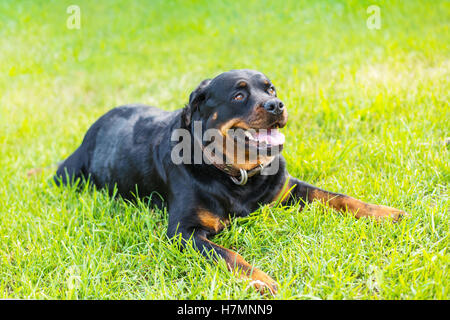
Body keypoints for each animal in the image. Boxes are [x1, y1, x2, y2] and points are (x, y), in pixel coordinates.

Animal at [54, 70, 406, 296]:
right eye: (238, 95)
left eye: (271, 90)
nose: (276, 105)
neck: (235, 173)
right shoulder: (183, 232)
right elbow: (228, 254)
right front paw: (261, 280)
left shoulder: (288, 189)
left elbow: (338, 196)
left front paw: (385, 213)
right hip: (67, 175)